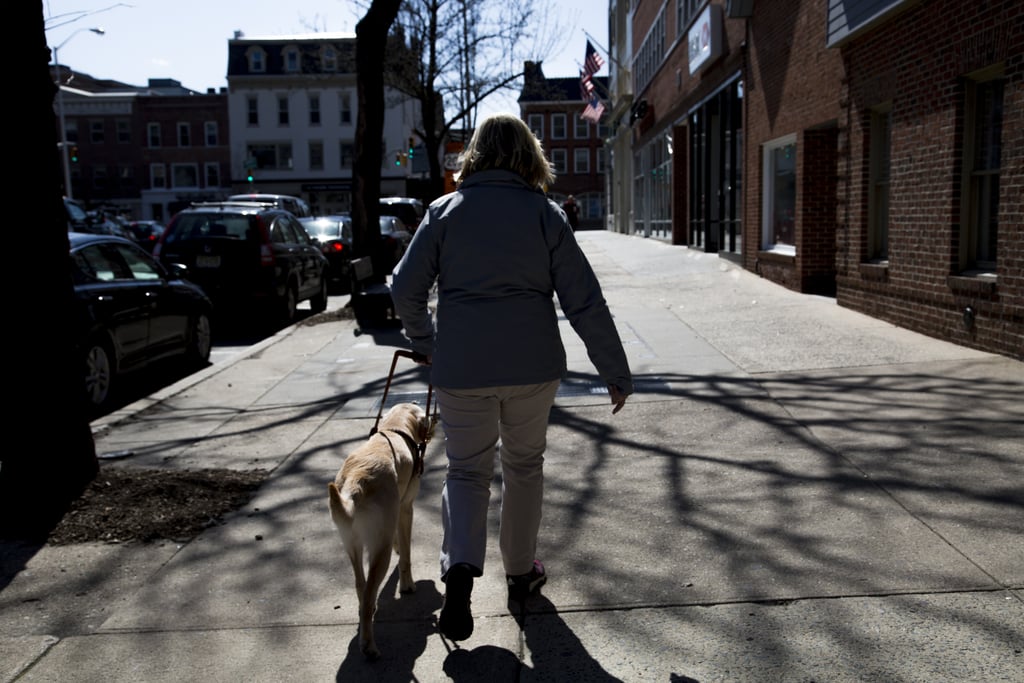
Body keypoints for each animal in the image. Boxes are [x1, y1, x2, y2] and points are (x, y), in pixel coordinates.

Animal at [327, 403, 436, 659]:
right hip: (379, 549)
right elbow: (406, 554)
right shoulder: (405, 508)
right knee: (368, 596)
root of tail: (355, 484)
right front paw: (407, 585)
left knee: (362, 586)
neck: (396, 429)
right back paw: (368, 645)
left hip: (352, 545)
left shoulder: (392, 516)